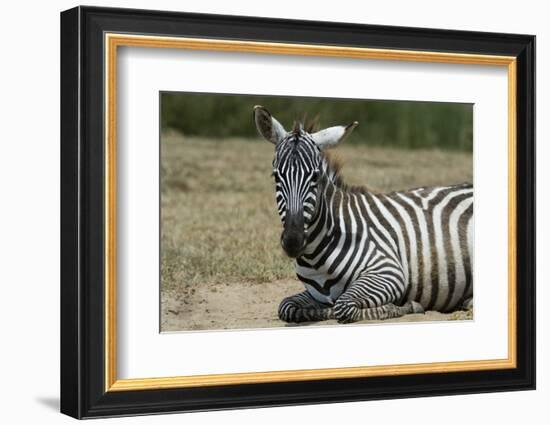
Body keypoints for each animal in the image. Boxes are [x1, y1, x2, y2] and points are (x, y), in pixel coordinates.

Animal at [254, 105, 474, 322]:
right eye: (275, 176)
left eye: (315, 177)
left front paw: (405, 306)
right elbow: (287, 307)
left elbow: (343, 306)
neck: (316, 258)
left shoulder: (389, 271)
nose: (293, 241)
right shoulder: (314, 293)